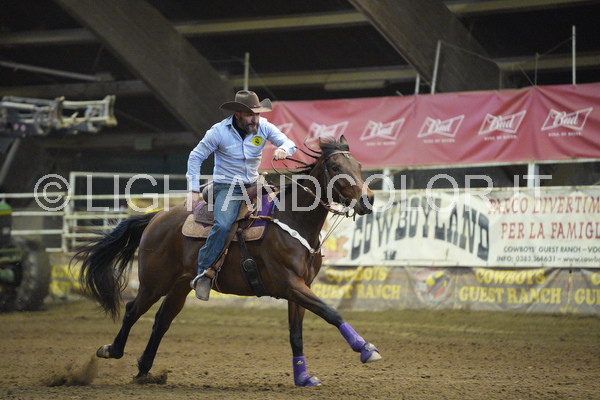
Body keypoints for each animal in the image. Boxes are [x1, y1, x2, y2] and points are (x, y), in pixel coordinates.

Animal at [72, 135, 381, 387]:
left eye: (359, 166)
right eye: (337, 167)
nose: (368, 199)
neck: (292, 220)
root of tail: (156, 217)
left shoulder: (300, 288)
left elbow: (296, 334)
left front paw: (303, 377)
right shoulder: (290, 284)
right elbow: (332, 312)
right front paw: (366, 349)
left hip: (181, 285)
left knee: (161, 320)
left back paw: (144, 370)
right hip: (154, 282)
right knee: (132, 310)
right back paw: (112, 351)